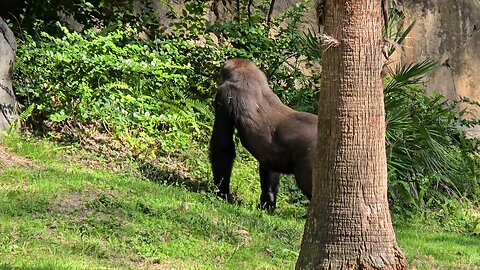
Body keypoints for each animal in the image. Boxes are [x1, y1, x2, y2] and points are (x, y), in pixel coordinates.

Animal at [208, 58, 316, 212]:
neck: (248, 77)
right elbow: (269, 165)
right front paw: (267, 203)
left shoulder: (224, 95)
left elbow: (222, 146)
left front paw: (222, 193)